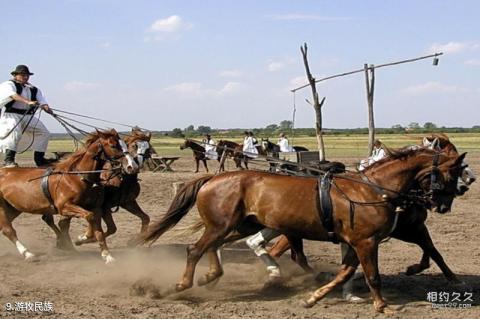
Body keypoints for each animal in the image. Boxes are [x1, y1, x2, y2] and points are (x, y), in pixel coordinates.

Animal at [0, 129, 137, 264]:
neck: (77, 177)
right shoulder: (64, 207)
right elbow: (89, 216)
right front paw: (83, 237)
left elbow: (98, 230)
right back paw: (27, 253)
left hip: (14, 208)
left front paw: (106, 255)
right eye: (113, 145)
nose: (132, 166)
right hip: (3, 209)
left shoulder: (96, 207)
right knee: (8, 230)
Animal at [140, 149, 464, 314]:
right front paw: (382, 305)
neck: (370, 189)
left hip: (241, 226)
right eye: (452, 172)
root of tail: (213, 179)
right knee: (195, 249)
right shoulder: (366, 241)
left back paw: (212, 275)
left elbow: (346, 272)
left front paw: (314, 297)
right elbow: (372, 275)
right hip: (223, 226)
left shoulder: (356, 242)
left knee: (214, 247)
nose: (444, 204)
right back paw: (182, 284)